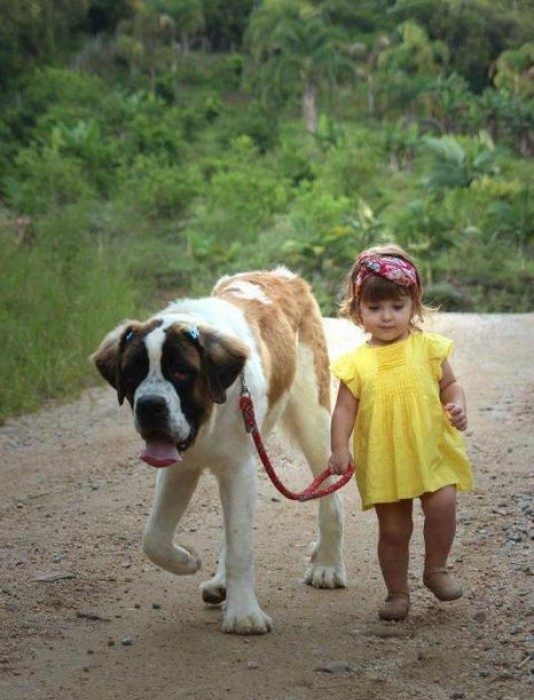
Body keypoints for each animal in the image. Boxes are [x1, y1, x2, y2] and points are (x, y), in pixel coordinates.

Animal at [92, 266, 348, 636]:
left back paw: (328, 565)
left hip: (314, 420)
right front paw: (187, 561)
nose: (150, 405)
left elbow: (241, 545)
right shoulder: (179, 469)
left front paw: (244, 615)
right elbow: (153, 537)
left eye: (181, 371)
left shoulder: (239, 468)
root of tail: (283, 275)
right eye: (134, 372)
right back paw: (220, 582)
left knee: (331, 499)